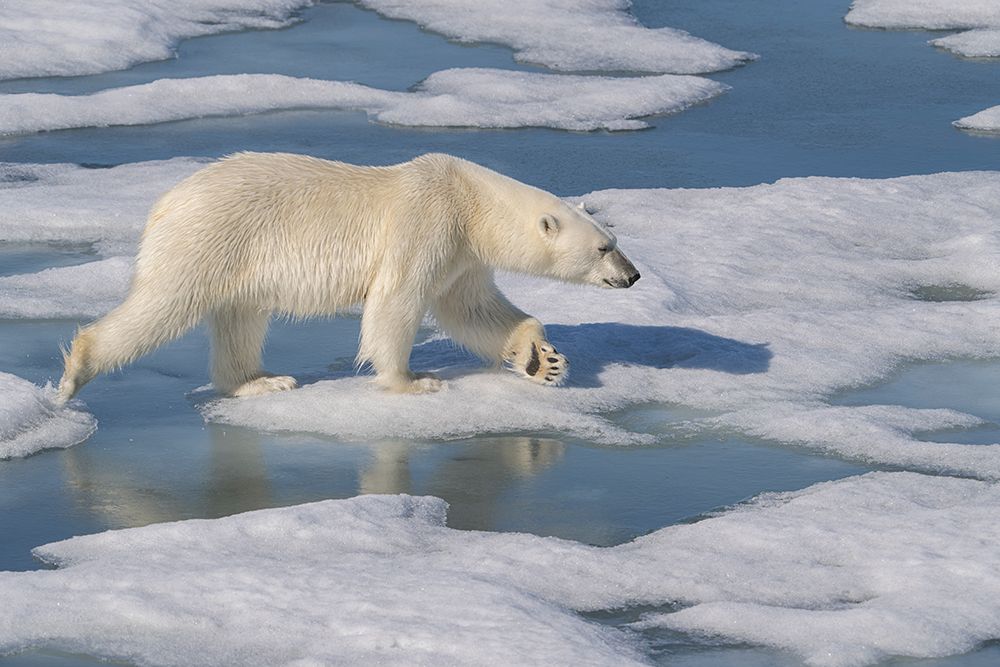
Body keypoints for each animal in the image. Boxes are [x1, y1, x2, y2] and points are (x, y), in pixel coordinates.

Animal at [57, 152, 639, 401]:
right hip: (207, 238)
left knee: (240, 318)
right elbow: (396, 301)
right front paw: (413, 380)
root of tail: (164, 203)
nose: (633, 275)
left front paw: (544, 360)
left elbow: (471, 308)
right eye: (605, 247)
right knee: (163, 304)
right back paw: (75, 372)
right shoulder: (428, 223)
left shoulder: (463, 255)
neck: (472, 202)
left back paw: (261, 380)